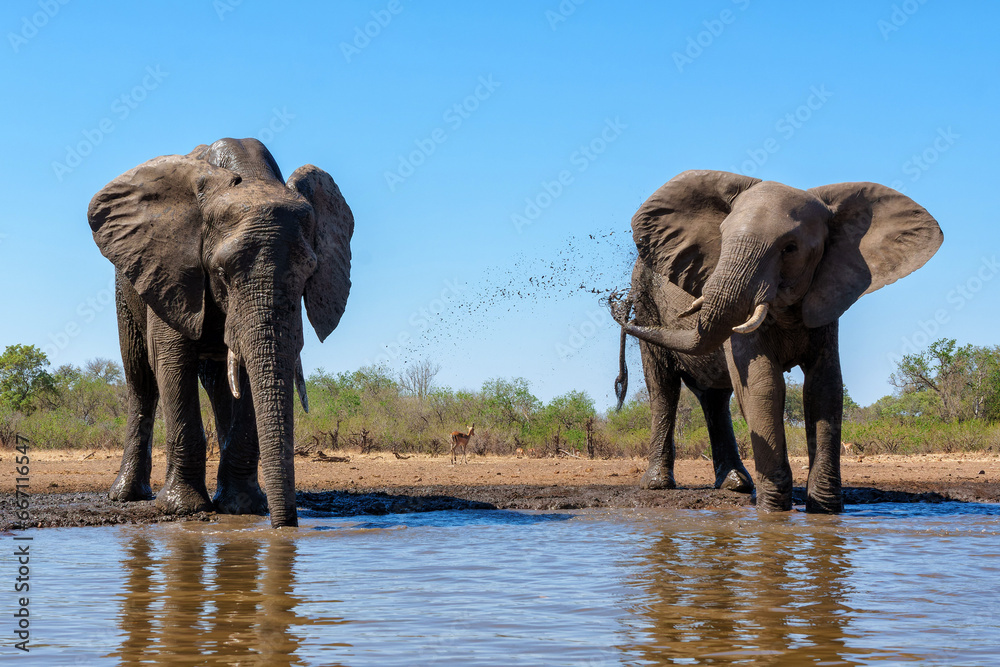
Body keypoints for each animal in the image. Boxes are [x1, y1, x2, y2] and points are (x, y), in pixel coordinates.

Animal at [87, 137, 354, 528]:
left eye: (309, 272)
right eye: (222, 272)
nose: (285, 527)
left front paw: (241, 507)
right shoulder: (171, 271)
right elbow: (171, 361)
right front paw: (182, 509)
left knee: (220, 384)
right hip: (128, 285)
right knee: (141, 379)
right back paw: (126, 496)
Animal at [610, 170, 941, 512]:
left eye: (790, 248)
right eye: (722, 237)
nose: (614, 304)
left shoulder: (827, 294)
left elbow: (825, 389)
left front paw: (825, 510)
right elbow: (763, 383)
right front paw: (773, 510)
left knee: (714, 396)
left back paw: (737, 485)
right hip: (647, 300)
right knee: (664, 388)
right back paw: (659, 484)